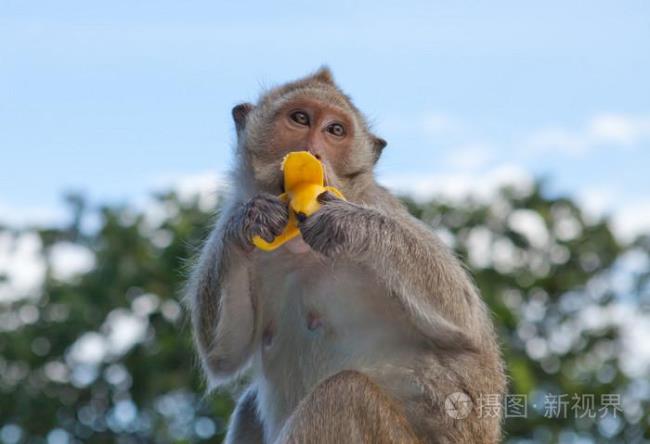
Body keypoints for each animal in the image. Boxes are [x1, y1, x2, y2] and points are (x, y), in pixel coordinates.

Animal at [185, 67, 504, 444]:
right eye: (300, 118)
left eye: (335, 130)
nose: (312, 152)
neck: (301, 250)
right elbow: (223, 354)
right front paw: (249, 220)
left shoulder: (377, 203)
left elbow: (463, 320)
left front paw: (346, 223)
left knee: (344, 393)